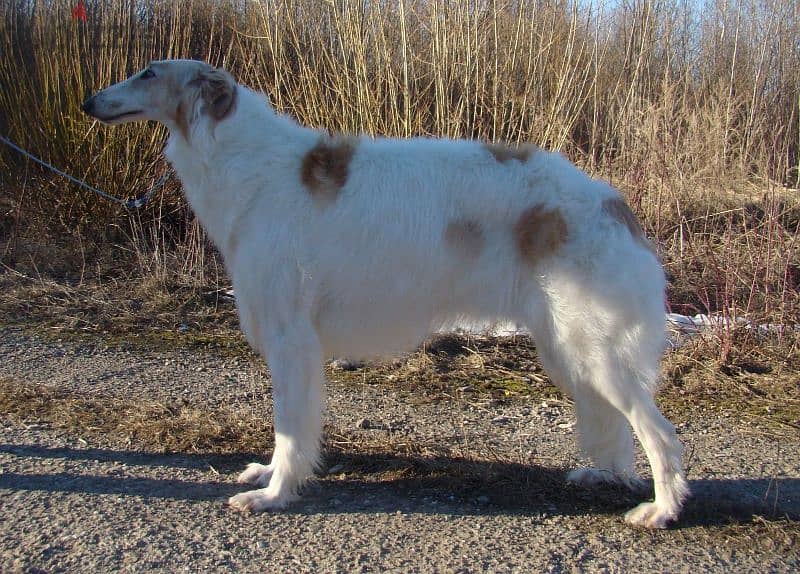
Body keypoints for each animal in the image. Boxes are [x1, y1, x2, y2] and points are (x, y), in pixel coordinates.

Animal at [84, 60, 692, 528]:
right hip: (567, 348)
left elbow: (290, 431)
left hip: (592, 348)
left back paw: (661, 511)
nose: (90, 100)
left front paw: (273, 494)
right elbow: (293, 431)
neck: (248, 162)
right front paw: (269, 476)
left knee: (660, 435)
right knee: (615, 426)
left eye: (148, 72)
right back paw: (602, 475)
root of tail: (614, 203)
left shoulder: (291, 339)